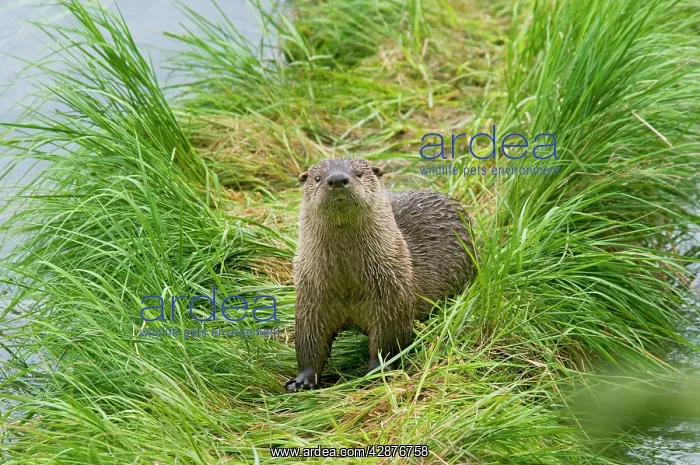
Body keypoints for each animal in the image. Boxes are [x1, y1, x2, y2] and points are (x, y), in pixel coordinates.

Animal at [286, 158, 474, 392]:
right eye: (317, 178)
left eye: (358, 173)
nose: (337, 179)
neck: (348, 285)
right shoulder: (311, 299)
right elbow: (309, 342)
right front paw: (302, 381)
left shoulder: (392, 298)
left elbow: (387, 342)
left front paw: (378, 373)